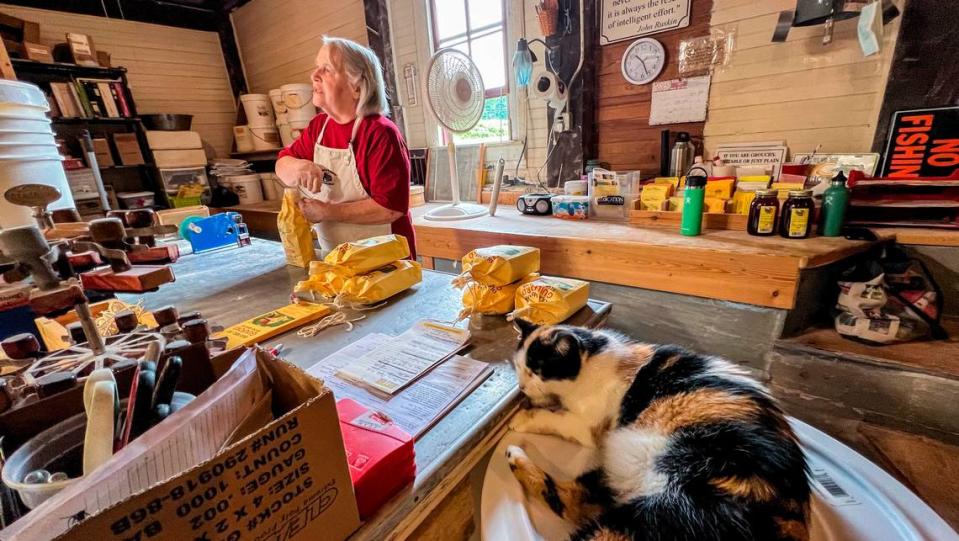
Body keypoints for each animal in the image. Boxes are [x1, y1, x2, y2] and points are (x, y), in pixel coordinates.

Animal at [510, 320, 808, 540]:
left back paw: (514, 453)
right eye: (519, 368)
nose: (522, 388)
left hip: (665, 505)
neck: (595, 362)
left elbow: (554, 419)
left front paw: (521, 419)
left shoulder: (585, 426)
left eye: (536, 370)